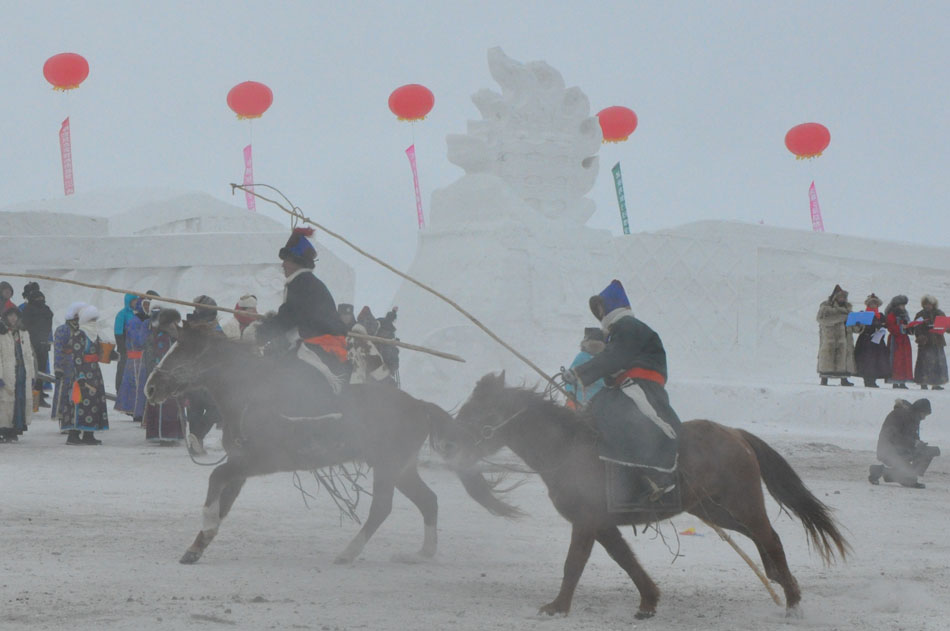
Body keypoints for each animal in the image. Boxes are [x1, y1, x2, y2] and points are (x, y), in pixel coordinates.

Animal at [145, 316, 464, 568]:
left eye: (182, 353)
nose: (151, 387)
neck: (249, 394)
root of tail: (420, 405)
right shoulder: (240, 465)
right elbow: (223, 498)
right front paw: (197, 546)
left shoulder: (259, 461)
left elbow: (215, 478)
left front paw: (208, 524)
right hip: (402, 469)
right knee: (428, 501)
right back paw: (422, 554)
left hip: (389, 466)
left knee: (382, 508)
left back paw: (348, 553)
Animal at [436, 372, 852, 620]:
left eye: (477, 412)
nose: (447, 444)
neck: (568, 448)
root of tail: (735, 434)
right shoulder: (601, 524)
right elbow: (625, 559)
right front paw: (649, 600)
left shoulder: (585, 522)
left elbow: (574, 564)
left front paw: (558, 607)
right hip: (716, 510)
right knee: (762, 540)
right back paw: (779, 580)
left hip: (742, 504)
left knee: (771, 537)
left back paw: (792, 600)